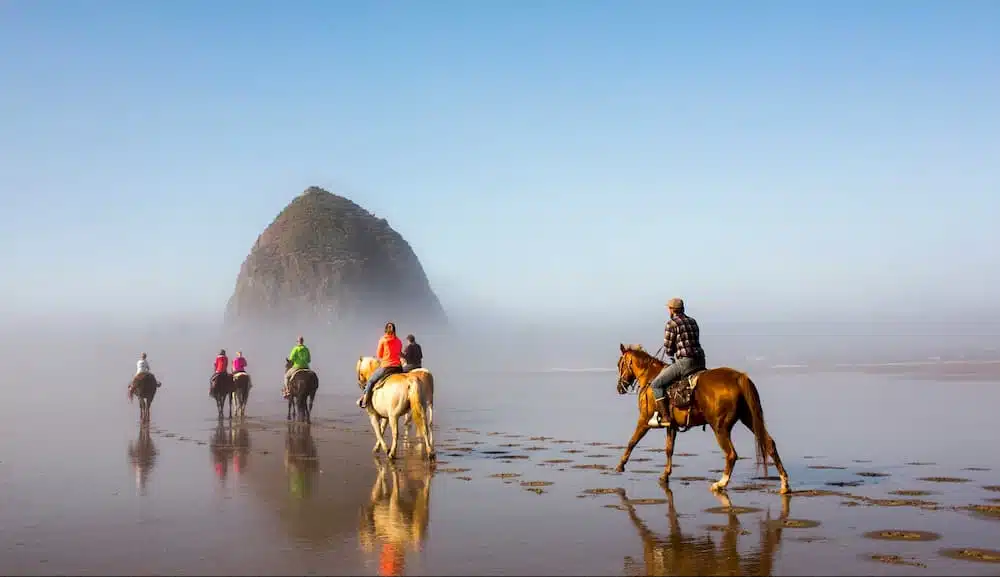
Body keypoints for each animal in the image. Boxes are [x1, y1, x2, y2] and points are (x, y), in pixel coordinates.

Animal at [612, 344, 792, 492]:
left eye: (620, 364)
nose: (620, 387)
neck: (651, 378)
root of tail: (739, 378)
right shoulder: (672, 426)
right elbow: (669, 449)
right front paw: (665, 475)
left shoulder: (644, 420)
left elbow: (632, 441)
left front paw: (620, 465)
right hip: (749, 419)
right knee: (769, 443)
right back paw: (784, 484)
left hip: (720, 427)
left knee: (731, 454)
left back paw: (720, 484)